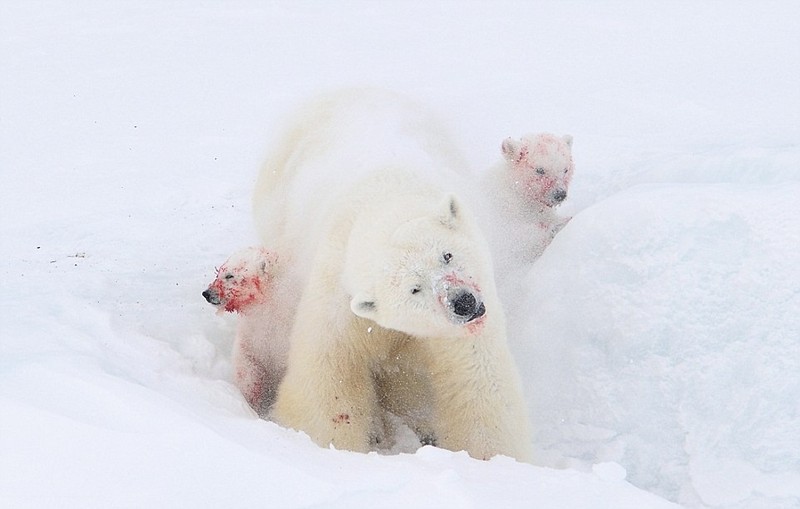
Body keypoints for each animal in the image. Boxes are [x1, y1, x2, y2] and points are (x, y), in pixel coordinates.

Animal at [255, 90, 532, 460]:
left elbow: (477, 381)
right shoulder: (339, 293)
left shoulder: (462, 326)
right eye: (414, 289)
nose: (462, 302)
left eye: (447, 254)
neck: (387, 193)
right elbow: (329, 375)